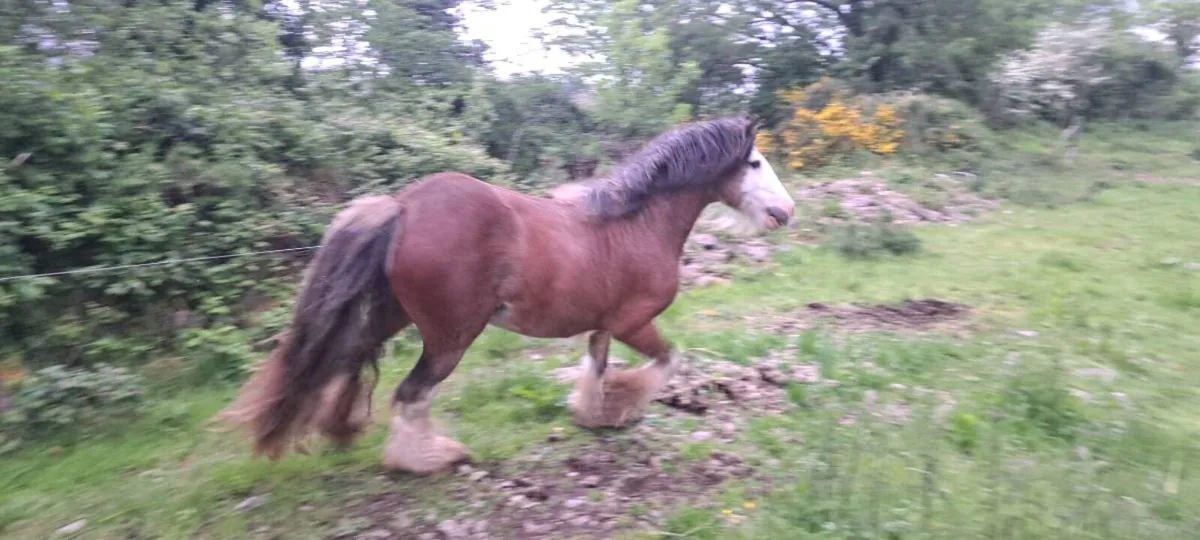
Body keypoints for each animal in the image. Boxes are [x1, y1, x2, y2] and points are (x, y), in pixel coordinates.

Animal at [217, 115, 795, 475]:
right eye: (755, 163)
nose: (786, 212)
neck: (635, 224)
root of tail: (402, 207)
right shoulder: (635, 322)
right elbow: (667, 362)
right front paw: (623, 405)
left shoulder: (604, 324)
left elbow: (597, 366)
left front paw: (594, 414)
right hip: (451, 335)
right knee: (411, 393)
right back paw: (428, 460)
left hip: (390, 317)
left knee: (354, 362)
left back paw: (346, 434)